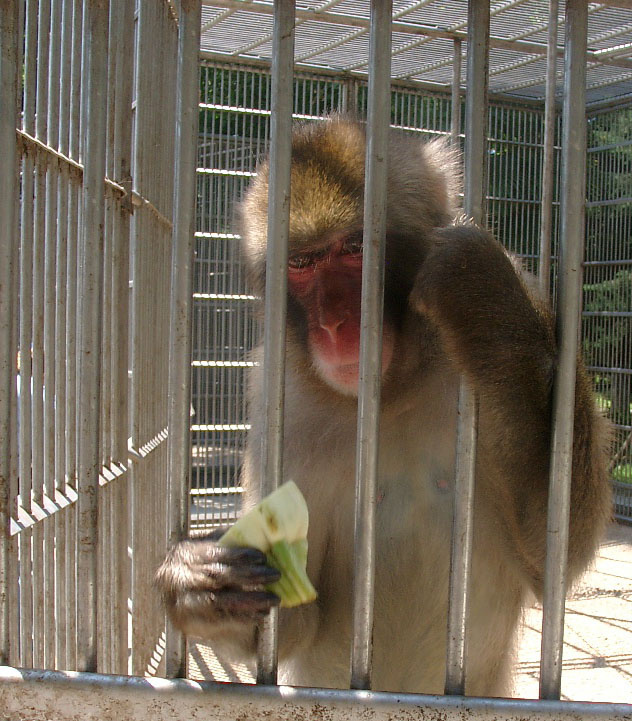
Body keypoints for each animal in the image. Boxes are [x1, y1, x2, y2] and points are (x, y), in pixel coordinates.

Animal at [156, 116, 611, 696]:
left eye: (355, 249)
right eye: (301, 263)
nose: (334, 324)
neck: (395, 392)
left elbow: (555, 558)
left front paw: (486, 300)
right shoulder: (282, 401)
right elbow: (294, 616)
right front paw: (197, 586)